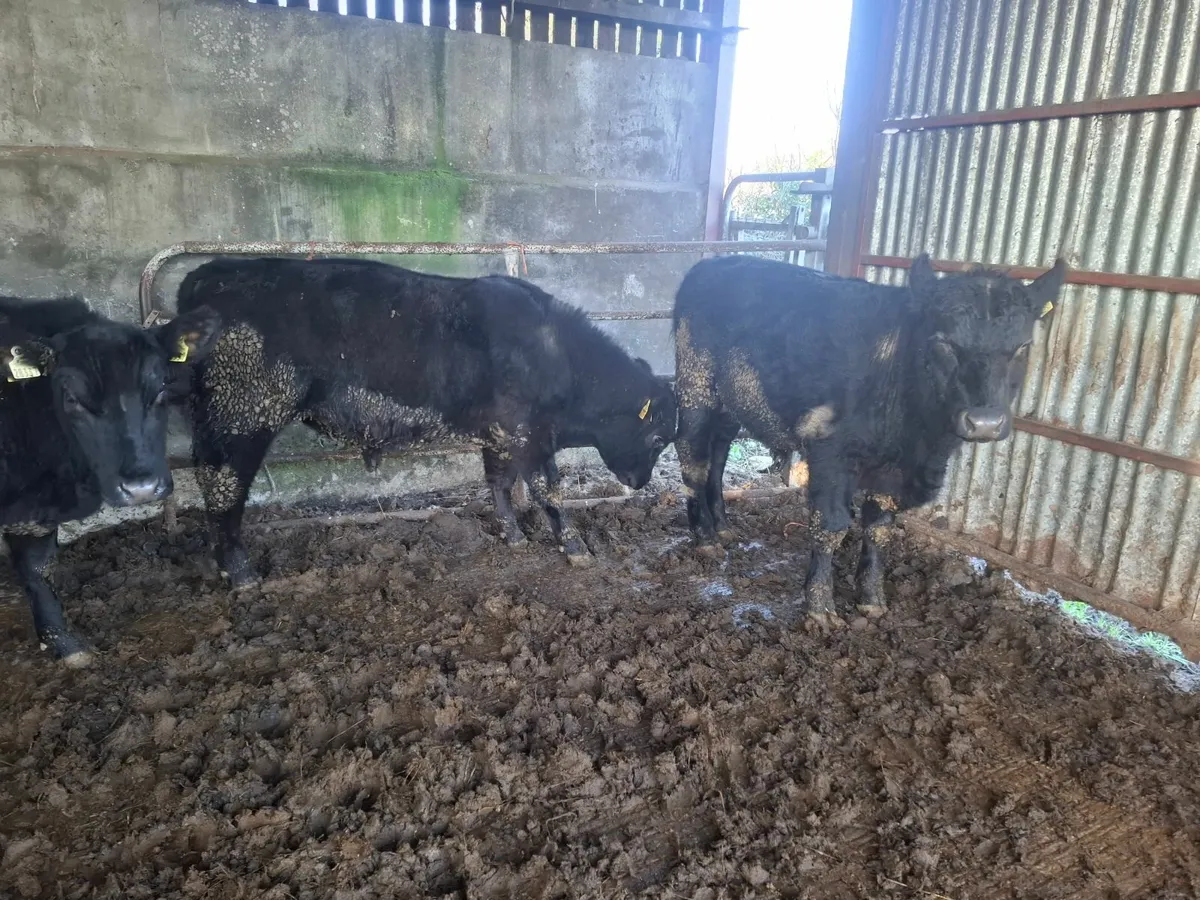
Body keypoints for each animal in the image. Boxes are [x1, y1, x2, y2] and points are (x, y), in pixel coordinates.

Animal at [0, 296, 220, 665]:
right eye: (72, 399)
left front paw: (66, 645)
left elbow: (37, 568)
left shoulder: (32, 513)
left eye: (160, 390)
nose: (140, 488)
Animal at [173, 256, 678, 588]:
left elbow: (498, 483)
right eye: (658, 437)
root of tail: (206, 275)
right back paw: (241, 574)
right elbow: (548, 490)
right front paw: (575, 549)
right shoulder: (527, 435)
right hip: (242, 418)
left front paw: (513, 537)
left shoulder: (499, 435)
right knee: (223, 489)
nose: (639, 482)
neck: (559, 357)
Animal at [672, 253, 1067, 626]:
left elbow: (879, 530)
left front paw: (873, 600)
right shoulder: (829, 449)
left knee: (718, 453)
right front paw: (820, 608)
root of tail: (713, 263)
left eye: (1023, 346)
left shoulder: (894, 472)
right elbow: (831, 526)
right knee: (693, 456)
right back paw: (705, 537)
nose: (984, 422)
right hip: (695, 384)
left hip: (730, 402)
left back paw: (723, 526)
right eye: (943, 342)